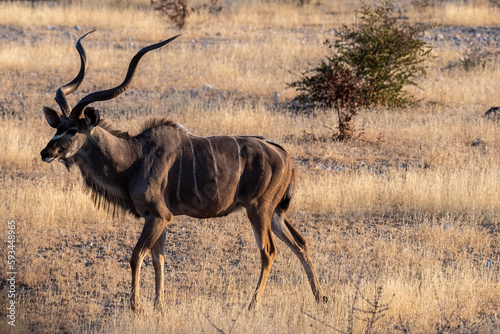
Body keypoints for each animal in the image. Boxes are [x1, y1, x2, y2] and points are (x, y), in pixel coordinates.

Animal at [40, 31, 328, 310]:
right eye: (58, 127)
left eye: (73, 129)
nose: (46, 153)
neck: (134, 156)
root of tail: (286, 156)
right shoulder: (157, 219)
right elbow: (158, 260)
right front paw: (159, 306)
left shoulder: (159, 216)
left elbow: (136, 256)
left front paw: (136, 306)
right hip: (275, 213)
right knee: (301, 243)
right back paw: (320, 297)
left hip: (259, 210)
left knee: (268, 251)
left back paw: (252, 305)